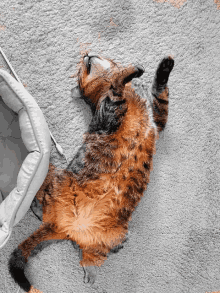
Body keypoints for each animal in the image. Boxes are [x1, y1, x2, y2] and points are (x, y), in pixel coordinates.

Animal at [8, 52, 174, 290]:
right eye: (80, 71)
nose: (86, 54)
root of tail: (62, 226)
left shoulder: (157, 120)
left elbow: (161, 92)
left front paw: (165, 66)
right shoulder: (108, 113)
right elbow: (117, 87)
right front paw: (131, 70)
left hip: (117, 237)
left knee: (89, 255)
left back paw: (91, 272)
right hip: (56, 178)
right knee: (41, 202)